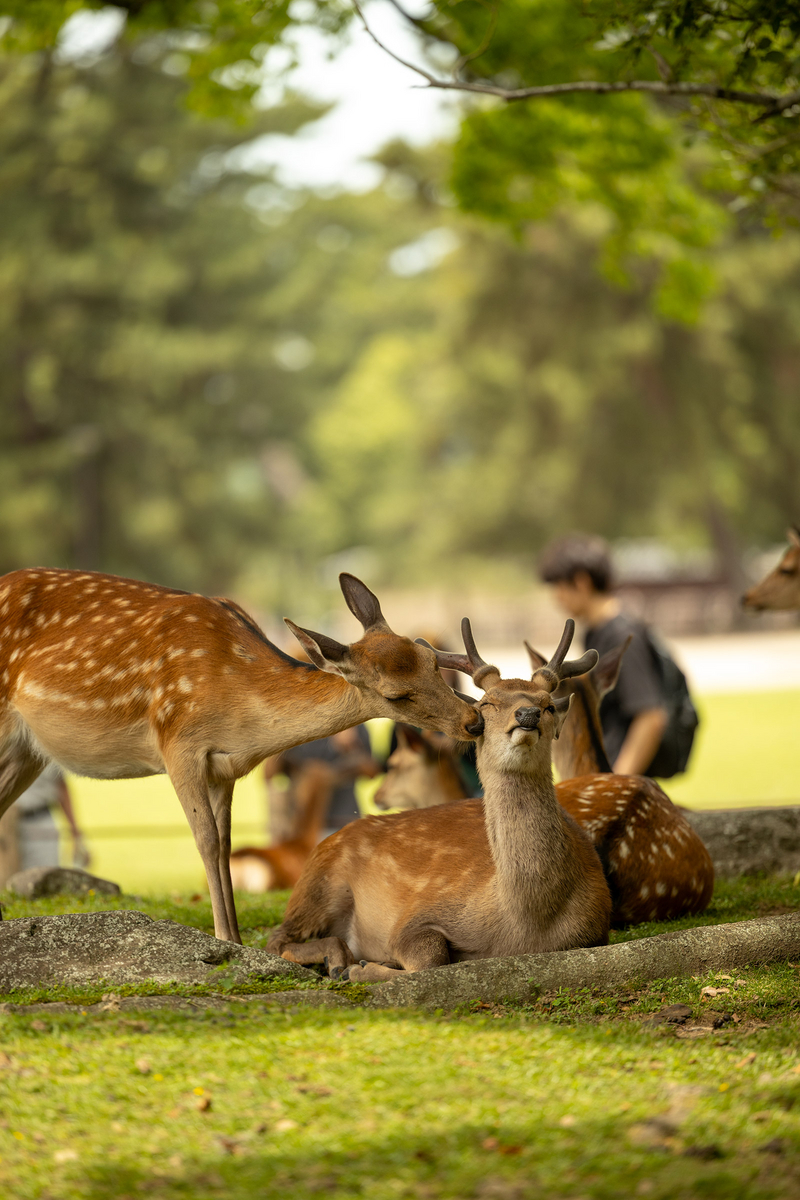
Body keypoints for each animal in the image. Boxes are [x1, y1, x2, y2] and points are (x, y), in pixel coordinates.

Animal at [0, 566, 482, 940]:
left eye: (429, 658)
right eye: (397, 695)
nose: (473, 721)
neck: (239, 714)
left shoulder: (225, 767)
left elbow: (228, 843)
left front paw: (235, 936)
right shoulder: (177, 743)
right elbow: (207, 840)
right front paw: (223, 938)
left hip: (27, 753)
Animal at [268, 619, 614, 984]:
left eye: (548, 705)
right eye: (487, 704)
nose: (528, 713)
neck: (526, 926)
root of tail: (325, 840)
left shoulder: (595, 929)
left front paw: (364, 967)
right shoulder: (416, 916)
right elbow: (430, 956)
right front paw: (362, 968)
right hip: (319, 884)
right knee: (278, 937)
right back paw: (338, 959)